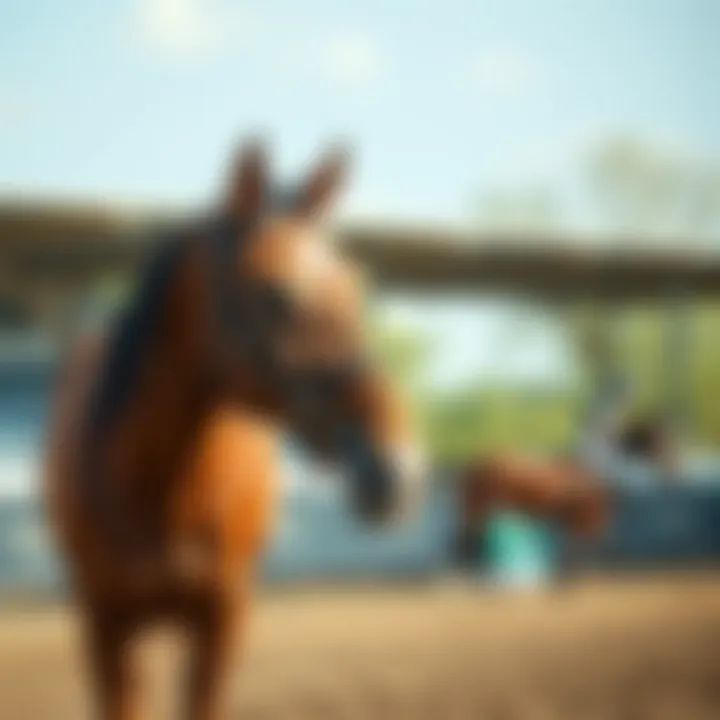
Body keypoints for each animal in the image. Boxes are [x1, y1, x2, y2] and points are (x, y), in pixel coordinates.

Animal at [43, 141, 426, 720]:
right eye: (274, 294)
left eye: (354, 287)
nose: (397, 472)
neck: (160, 487)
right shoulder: (105, 624)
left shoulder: (223, 620)